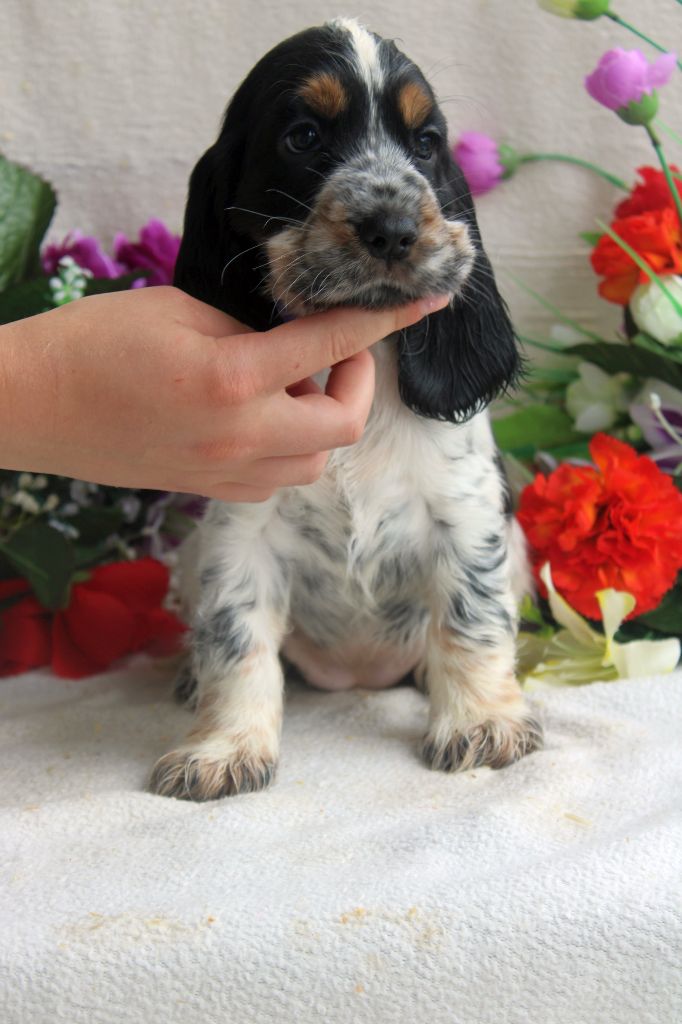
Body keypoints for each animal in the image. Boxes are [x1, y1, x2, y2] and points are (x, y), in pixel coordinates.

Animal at [150, 14, 540, 798]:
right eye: (303, 136)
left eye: (426, 143)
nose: (392, 227)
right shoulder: (240, 535)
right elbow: (235, 638)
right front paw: (222, 749)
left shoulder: (467, 517)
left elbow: (472, 620)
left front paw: (481, 723)